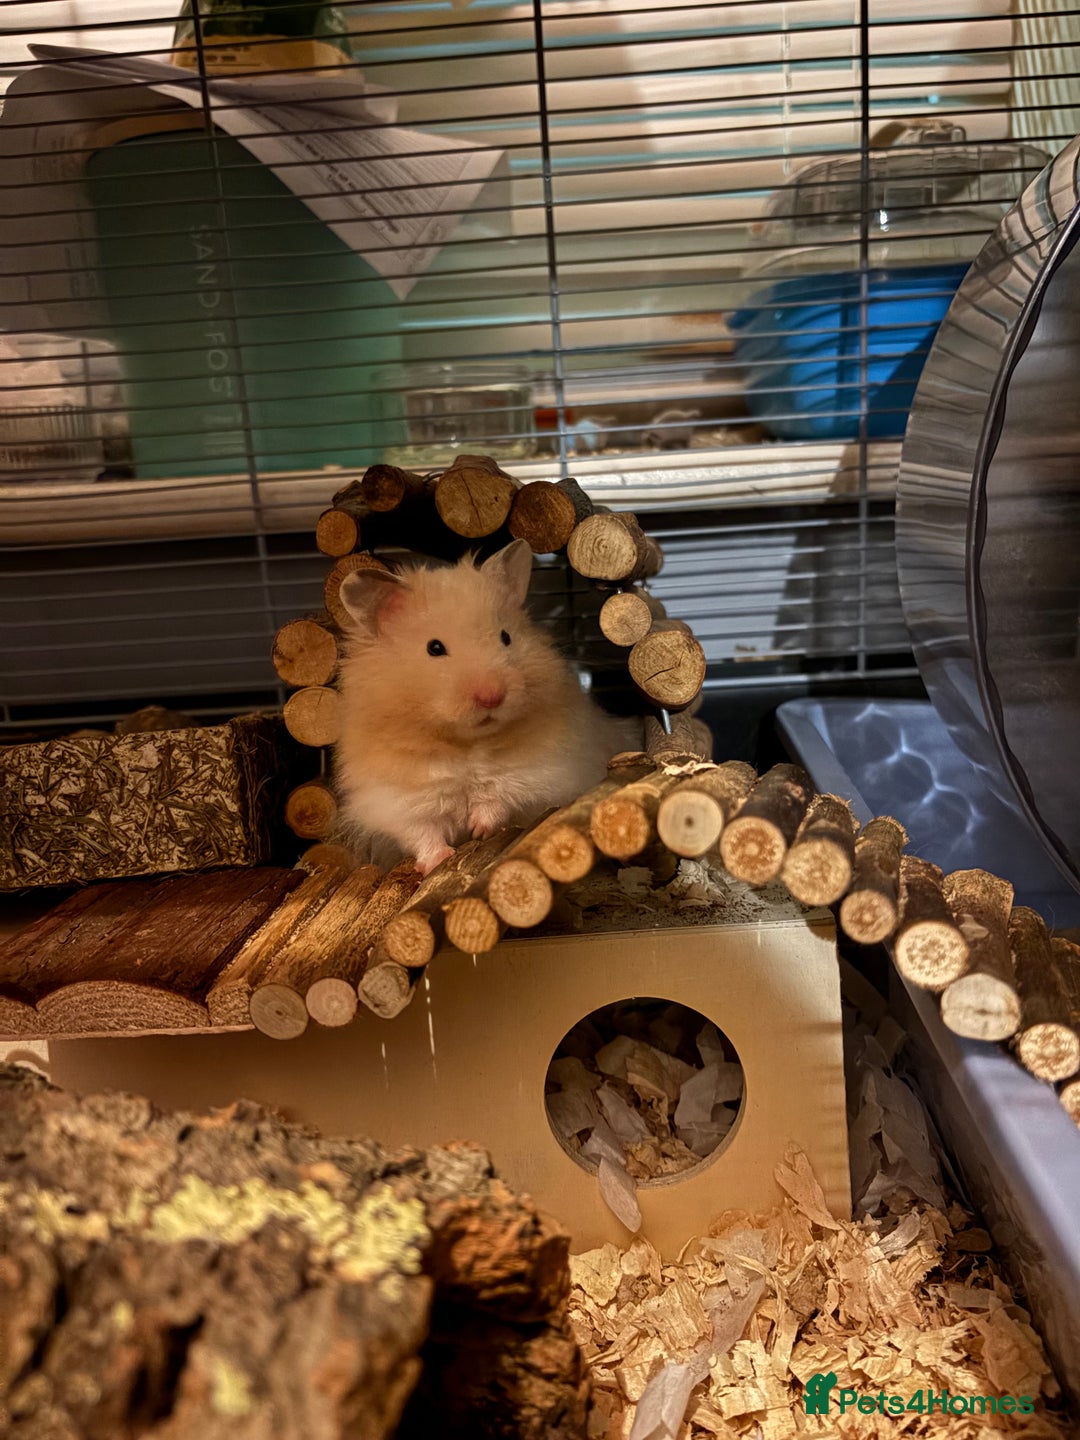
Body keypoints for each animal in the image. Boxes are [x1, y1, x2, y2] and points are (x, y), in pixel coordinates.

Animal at [334, 539, 626, 875]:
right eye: (434, 648)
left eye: (506, 637)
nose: (491, 697)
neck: (466, 744)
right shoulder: (401, 799)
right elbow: (423, 832)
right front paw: (437, 861)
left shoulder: (537, 773)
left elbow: (499, 796)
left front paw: (478, 829)